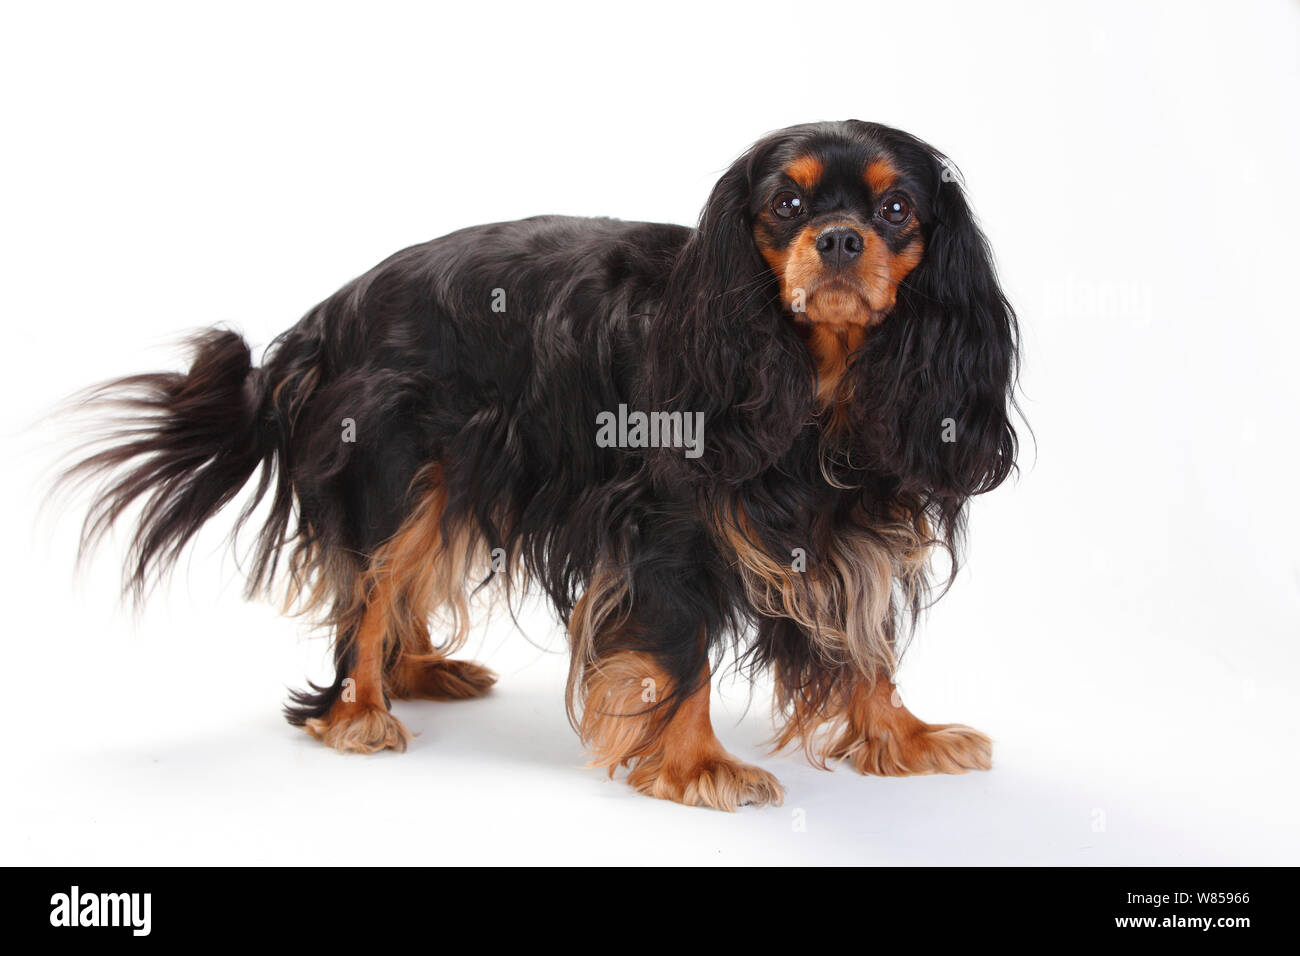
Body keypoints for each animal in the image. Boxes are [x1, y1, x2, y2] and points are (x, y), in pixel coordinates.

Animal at [65, 117, 1019, 806]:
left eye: (897, 211)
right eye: (787, 205)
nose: (841, 240)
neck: (814, 379)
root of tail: (327, 315)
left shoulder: (853, 528)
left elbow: (869, 648)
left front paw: (904, 738)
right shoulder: (665, 527)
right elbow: (684, 650)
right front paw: (697, 764)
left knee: (392, 593)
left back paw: (418, 673)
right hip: (399, 473)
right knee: (368, 595)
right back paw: (359, 712)